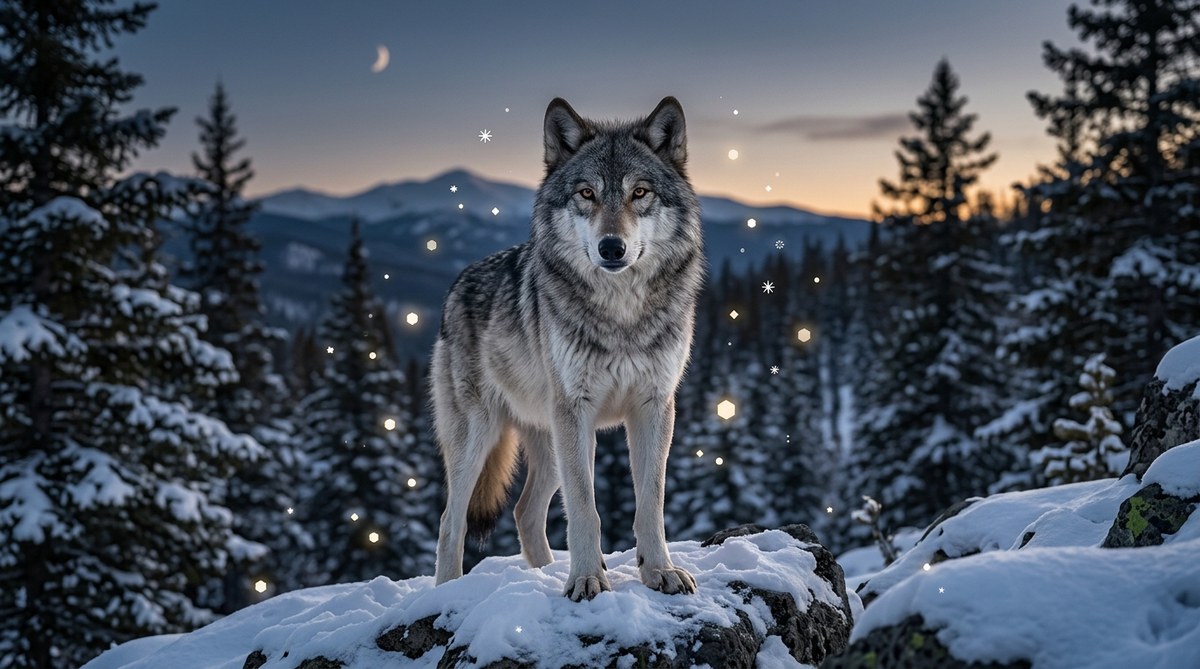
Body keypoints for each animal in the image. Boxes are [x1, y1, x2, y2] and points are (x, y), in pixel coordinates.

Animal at [430, 96, 705, 600]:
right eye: (586, 193)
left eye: (639, 192)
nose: (612, 247)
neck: (621, 316)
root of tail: (455, 286)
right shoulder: (576, 411)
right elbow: (584, 508)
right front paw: (586, 579)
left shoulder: (654, 407)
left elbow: (650, 504)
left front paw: (660, 571)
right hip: (483, 436)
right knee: (448, 521)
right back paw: (446, 592)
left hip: (551, 441)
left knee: (524, 512)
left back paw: (542, 573)